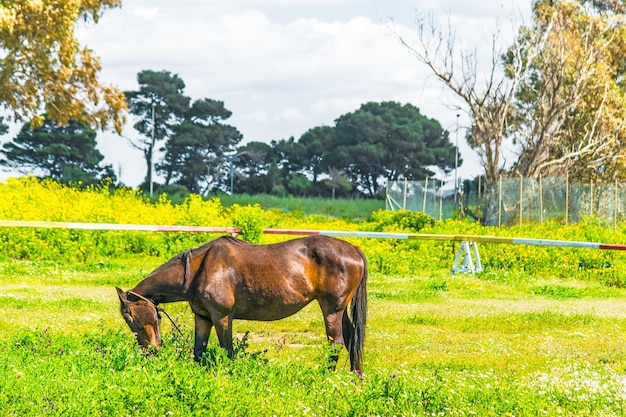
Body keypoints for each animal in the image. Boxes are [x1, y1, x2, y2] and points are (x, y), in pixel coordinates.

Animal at [116, 234, 366, 370]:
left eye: (131, 318)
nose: (150, 352)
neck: (198, 270)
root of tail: (354, 249)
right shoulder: (203, 317)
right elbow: (199, 351)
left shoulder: (222, 317)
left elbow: (227, 350)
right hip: (340, 310)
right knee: (352, 339)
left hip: (331, 309)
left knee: (336, 344)